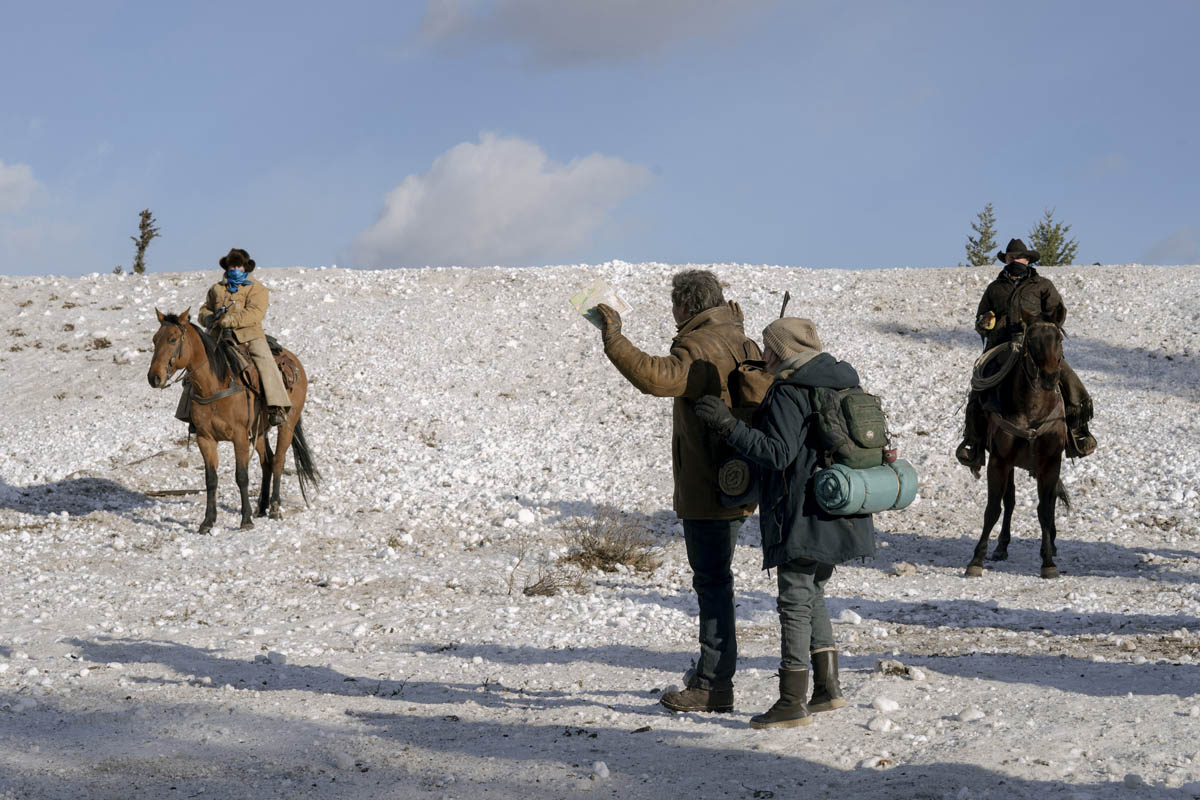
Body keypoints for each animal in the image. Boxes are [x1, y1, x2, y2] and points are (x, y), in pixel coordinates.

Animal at [145, 309, 319, 534]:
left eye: (173, 339)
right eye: (154, 339)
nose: (154, 378)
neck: (215, 386)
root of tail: (294, 361)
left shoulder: (239, 437)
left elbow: (241, 476)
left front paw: (245, 520)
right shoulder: (205, 438)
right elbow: (211, 479)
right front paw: (207, 522)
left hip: (287, 424)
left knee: (278, 460)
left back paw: (274, 508)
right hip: (259, 431)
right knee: (267, 461)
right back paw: (261, 507)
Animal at [964, 321, 1070, 582]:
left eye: (1059, 340)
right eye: (1031, 341)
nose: (1050, 376)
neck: (1032, 412)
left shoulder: (1051, 463)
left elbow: (1045, 510)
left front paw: (1048, 562)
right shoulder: (999, 462)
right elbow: (993, 509)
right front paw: (976, 560)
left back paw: (1051, 543)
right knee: (1009, 500)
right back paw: (1001, 547)